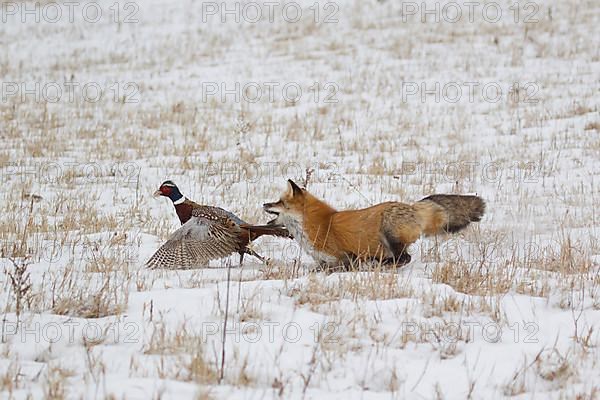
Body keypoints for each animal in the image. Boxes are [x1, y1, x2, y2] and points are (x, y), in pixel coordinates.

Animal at [262, 179, 482, 268]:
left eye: (279, 202)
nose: (264, 203)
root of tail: (412, 207)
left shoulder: (342, 257)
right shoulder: (323, 261)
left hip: (389, 230)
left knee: (404, 258)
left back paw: (380, 263)